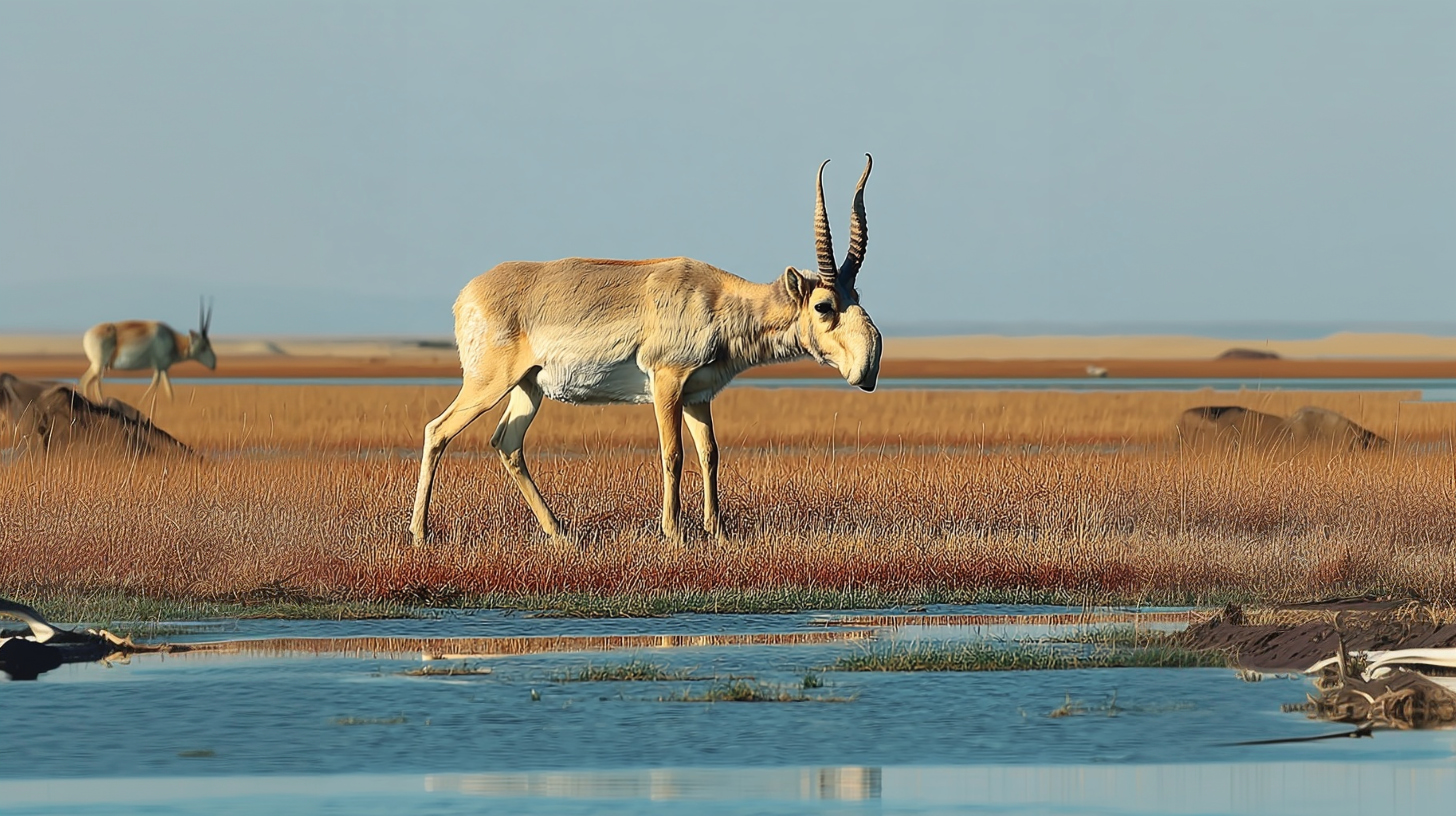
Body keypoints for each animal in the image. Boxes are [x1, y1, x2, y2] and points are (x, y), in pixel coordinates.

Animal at [78, 300, 216, 403]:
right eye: (203, 347)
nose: (214, 364)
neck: (170, 338)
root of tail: (87, 334)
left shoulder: (163, 368)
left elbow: (169, 390)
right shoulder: (158, 367)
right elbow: (155, 384)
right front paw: (141, 402)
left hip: (100, 367)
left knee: (90, 381)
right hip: (99, 365)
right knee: (88, 381)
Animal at [411, 155, 881, 544]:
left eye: (855, 294)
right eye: (823, 305)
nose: (868, 369)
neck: (716, 298)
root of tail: (467, 295)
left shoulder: (697, 395)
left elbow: (710, 455)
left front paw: (718, 533)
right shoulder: (666, 383)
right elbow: (672, 453)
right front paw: (674, 533)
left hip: (528, 388)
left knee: (507, 442)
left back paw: (561, 533)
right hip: (488, 385)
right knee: (437, 430)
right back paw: (420, 534)